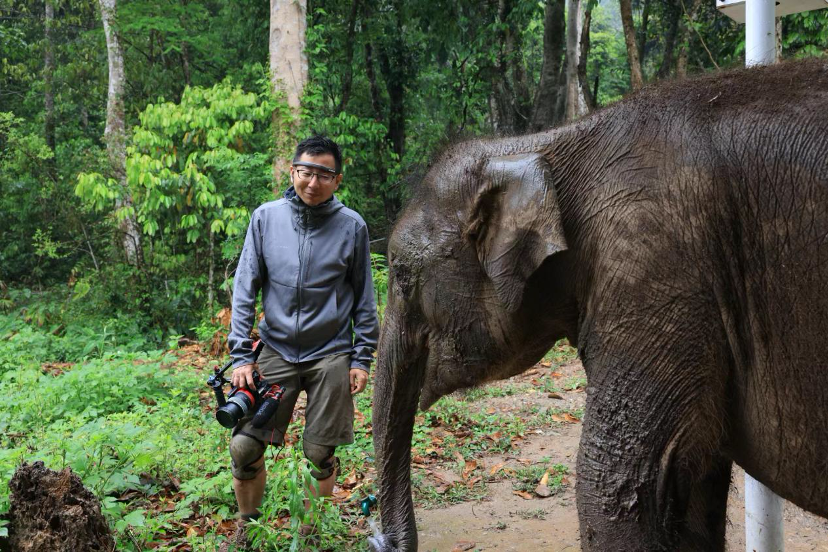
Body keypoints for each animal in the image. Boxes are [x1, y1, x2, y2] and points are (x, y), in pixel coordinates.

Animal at [368, 58, 828, 548]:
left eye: (401, 276)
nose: (381, 538)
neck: (541, 144)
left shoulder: (654, 267)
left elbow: (610, 485)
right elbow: (694, 487)